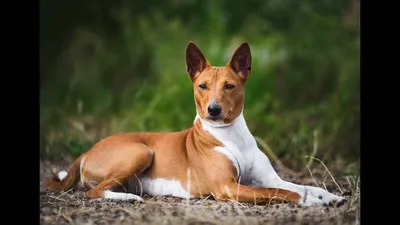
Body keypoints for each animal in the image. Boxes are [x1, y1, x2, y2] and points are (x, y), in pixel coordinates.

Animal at [43, 41, 344, 207]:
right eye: (203, 86)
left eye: (229, 86)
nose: (213, 109)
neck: (231, 137)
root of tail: (88, 151)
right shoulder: (227, 187)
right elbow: (277, 192)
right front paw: (309, 202)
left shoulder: (269, 177)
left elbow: (297, 185)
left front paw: (327, 196)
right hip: (141, 151)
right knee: (94, 191)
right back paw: (129, 199)